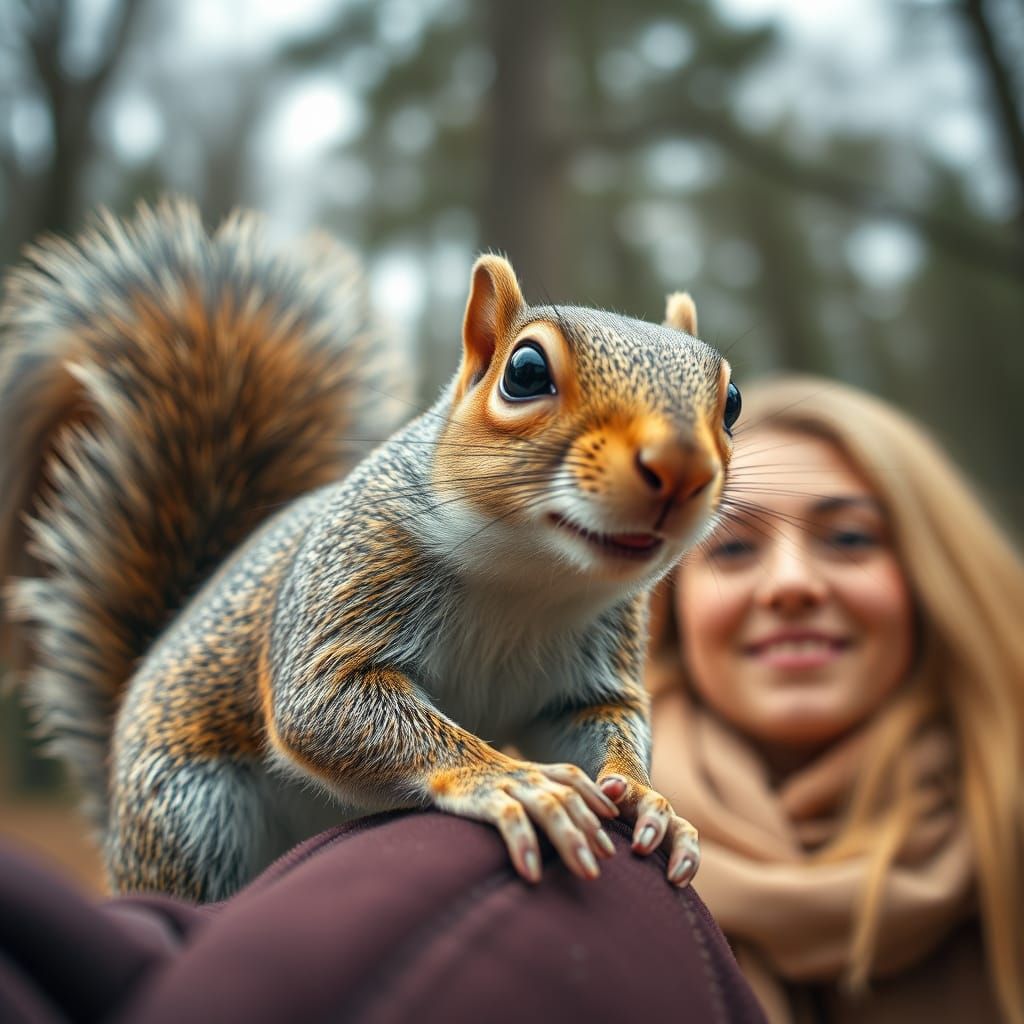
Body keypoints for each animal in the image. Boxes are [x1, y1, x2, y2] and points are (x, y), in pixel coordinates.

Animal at [0, 199, 741, 902]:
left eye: (730, 400)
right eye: (526, 372)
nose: (681, 467)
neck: (529, 581)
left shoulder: (587, 676)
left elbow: (601, 721)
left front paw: (647, 798)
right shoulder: (355, 569)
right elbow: (321, 704)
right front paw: (508, 781)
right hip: (190, 815)